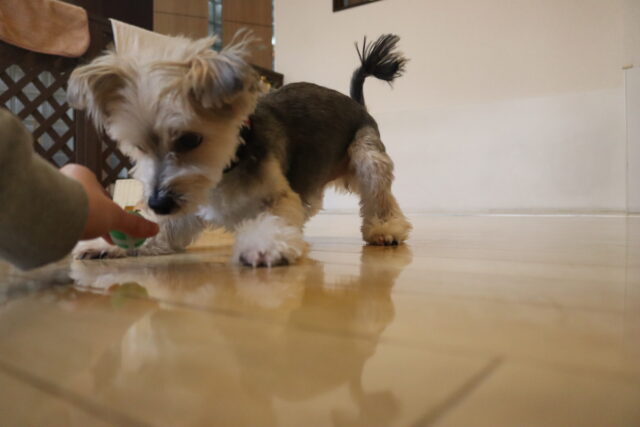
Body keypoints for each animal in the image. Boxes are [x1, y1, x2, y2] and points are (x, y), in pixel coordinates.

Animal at [68, 33, 412, 267]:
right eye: (139, 146)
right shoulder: (184, 206)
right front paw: (108, 243)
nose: (157, 204)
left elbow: (275, 218)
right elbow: (164, 231)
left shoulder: (276, 197)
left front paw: (266, 245)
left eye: (189, 140)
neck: (228, 166)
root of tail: (357, 103)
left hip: (368, 157)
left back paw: (385, 229)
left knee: (380, 195)